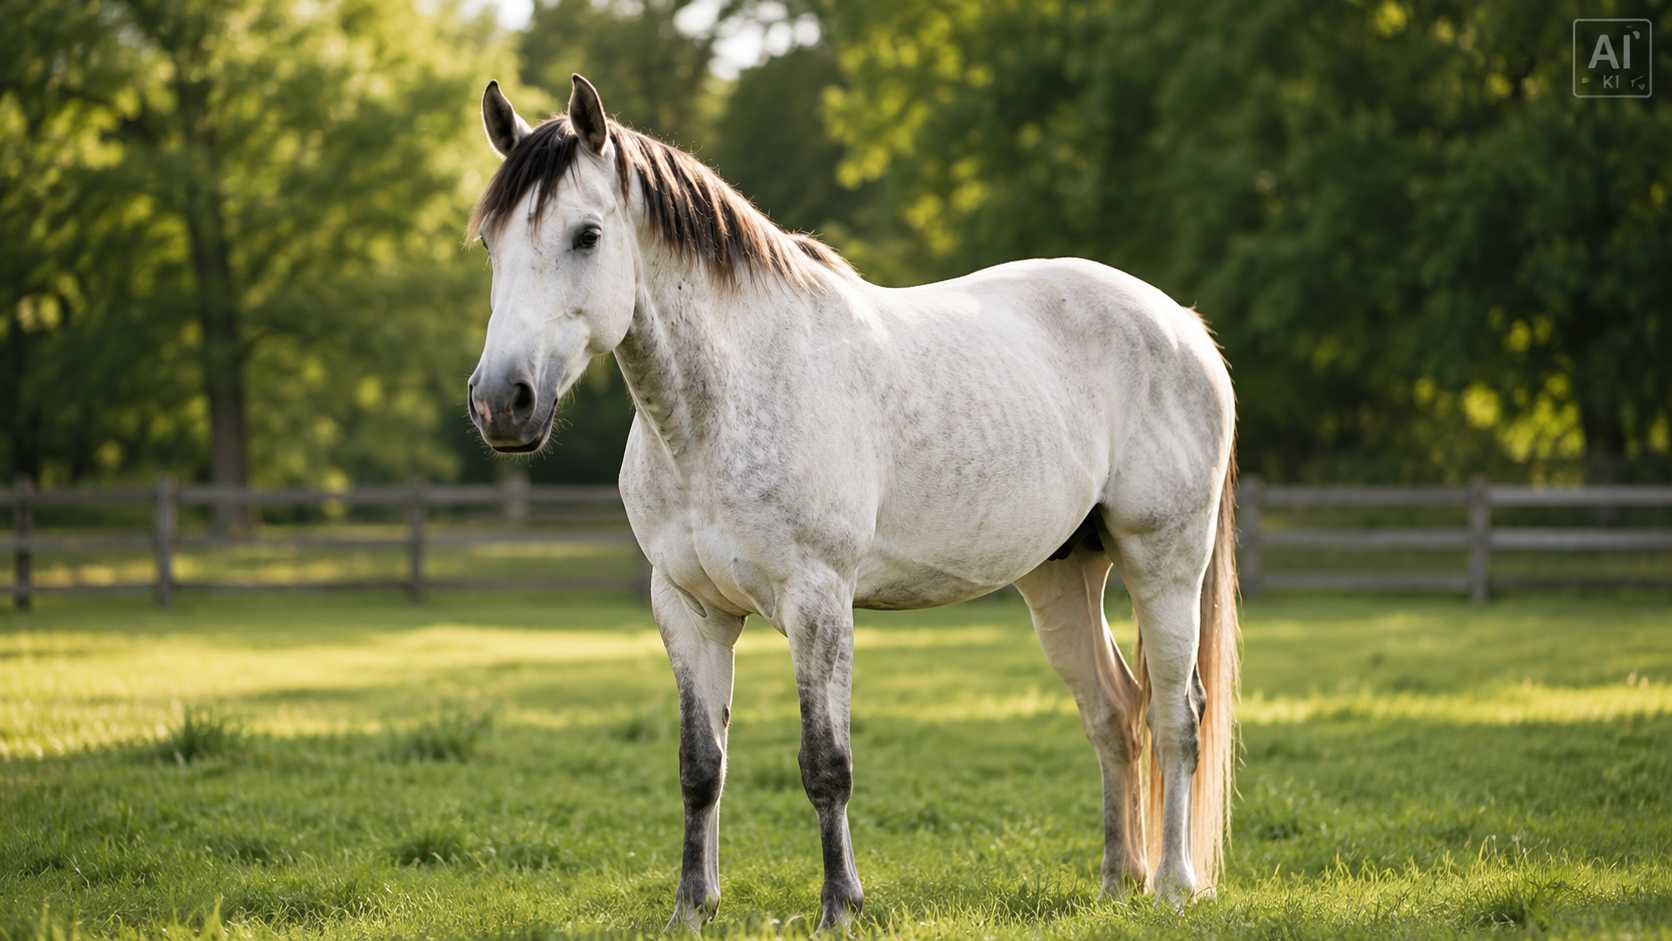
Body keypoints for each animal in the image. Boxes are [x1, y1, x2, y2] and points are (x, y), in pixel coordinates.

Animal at [465, 74, 1239, 932]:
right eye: (490, 242)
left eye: (587, 234)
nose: (503, 402)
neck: (725, 402)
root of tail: (1181, 325)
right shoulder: (689, 608)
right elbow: (701, 766)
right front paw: (692, 909)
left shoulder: (819, 601)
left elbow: (825, 764)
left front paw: (840, 906)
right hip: (1060, 577)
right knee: (1113, 713)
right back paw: (1115, 880)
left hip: (1164, 563)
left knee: (1177, 713)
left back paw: (1174, 884)